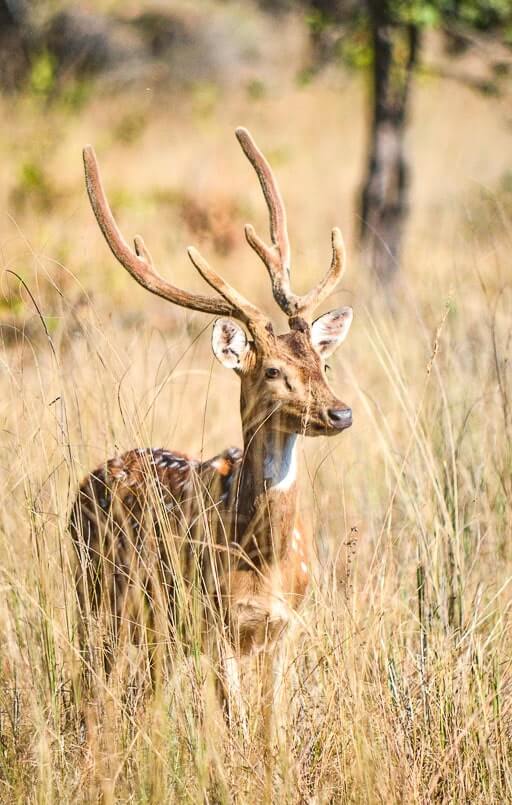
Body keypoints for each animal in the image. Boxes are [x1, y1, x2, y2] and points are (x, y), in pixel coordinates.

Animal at [71, 130, 352, 736]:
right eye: (273, 371)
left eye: (324, 364)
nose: (341, 413)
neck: (264, 562)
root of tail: (90, 477)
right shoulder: (214, 619)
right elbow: (238, 725)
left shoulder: (286, 623)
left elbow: (271, 727)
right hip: (93, 595)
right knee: (94, 686)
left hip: (156, 627)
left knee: (142, 692)